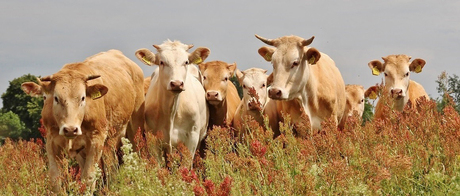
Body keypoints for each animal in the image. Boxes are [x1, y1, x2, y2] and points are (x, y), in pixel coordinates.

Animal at [20, 49, 144, 193]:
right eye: (56, 98)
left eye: (83, 98)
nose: (70, 129)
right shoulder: (51, 141)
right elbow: (55, 179)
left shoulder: (96, 140)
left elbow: (88, 177)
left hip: (131, 130)